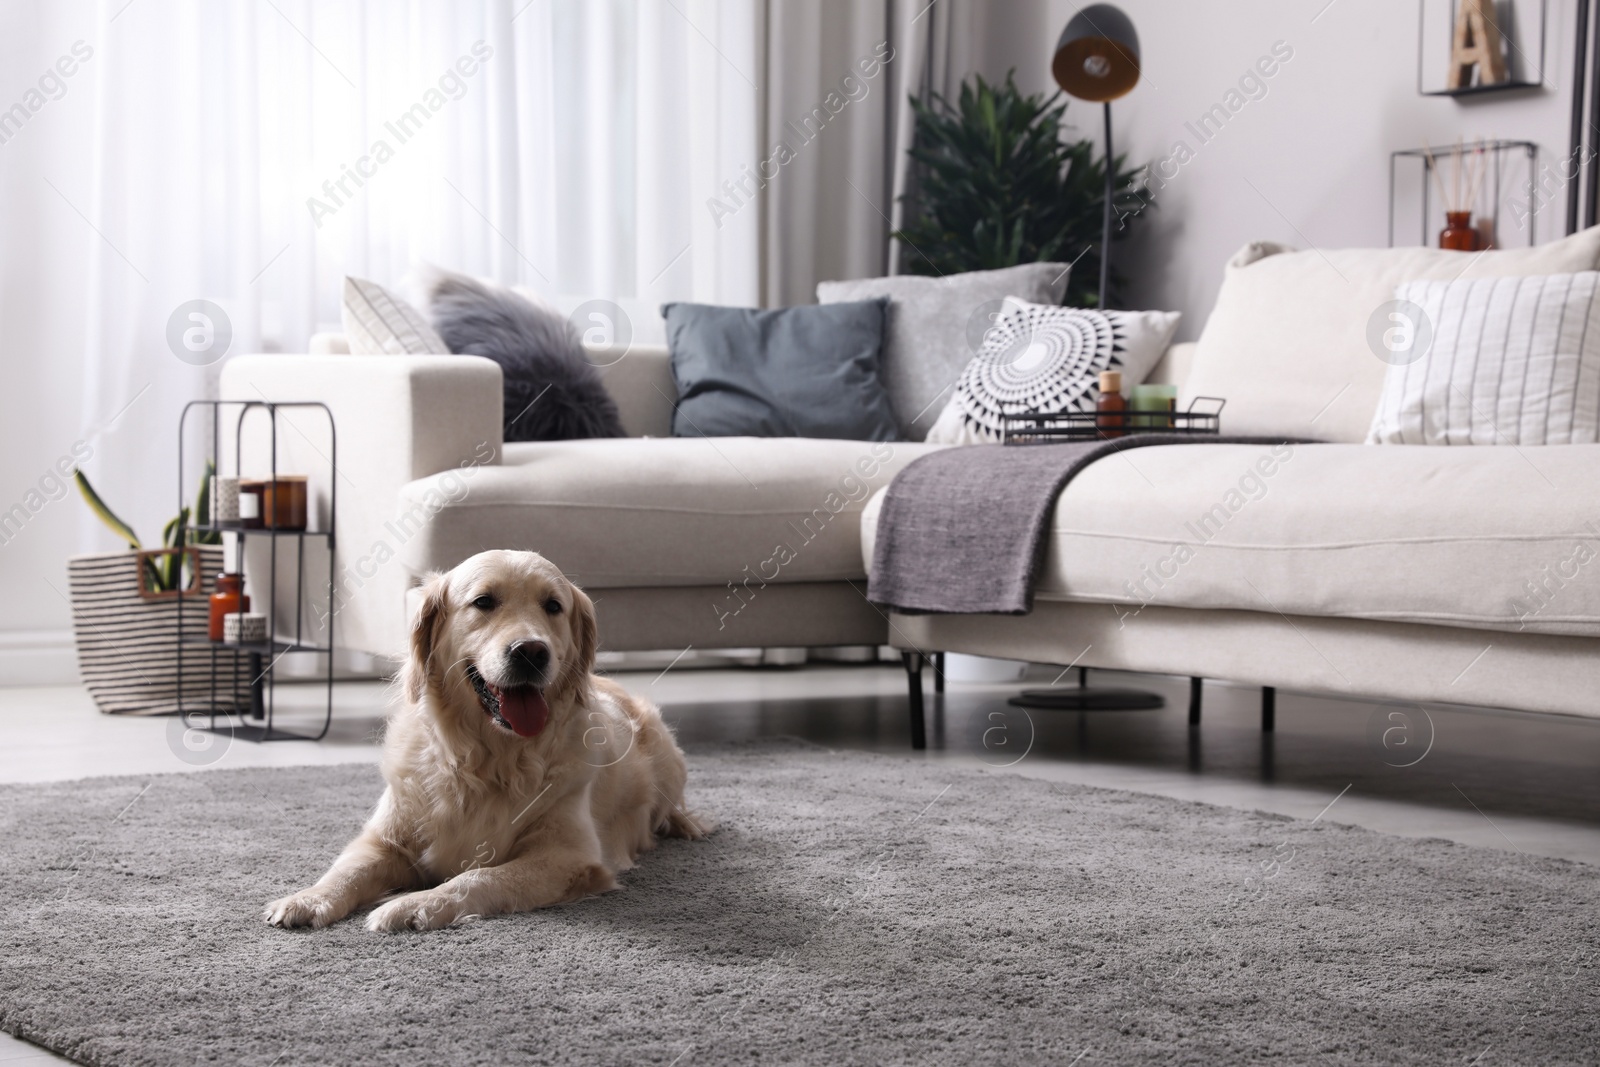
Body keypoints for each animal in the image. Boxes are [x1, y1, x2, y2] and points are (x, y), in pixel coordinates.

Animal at [265, 547, 710, 927]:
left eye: (553, 606)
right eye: (483, 602)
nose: (531, 651)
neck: (488, 757)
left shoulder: (567, 857)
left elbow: (477, 876)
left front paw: (412, 905)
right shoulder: (384, 840)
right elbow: (346, 868)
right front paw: (307, 898)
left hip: (667, 760)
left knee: (669, 806)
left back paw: (685, 824)